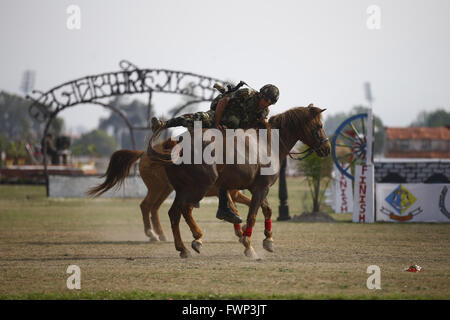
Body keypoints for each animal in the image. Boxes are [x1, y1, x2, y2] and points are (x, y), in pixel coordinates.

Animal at [86, 144, 251, 241]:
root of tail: (144, 153)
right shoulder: (227, 193)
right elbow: (236, 207)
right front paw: (241, 230)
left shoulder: (235, 194)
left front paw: (241, 229)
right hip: (157, 187)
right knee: (146, 205)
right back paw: (151, 234)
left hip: (166, 189)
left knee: (154, 207)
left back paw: (161, 234)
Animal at [148, 104, 330, 258]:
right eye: (319, 126)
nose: (327, 148)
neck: (268, 143)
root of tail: (176, 148)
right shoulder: (261, 188)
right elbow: (252, 216)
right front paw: (248, 244)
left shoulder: (257, 188)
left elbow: (267, 210)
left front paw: (268, 240)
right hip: (199, 187)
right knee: (186, 209)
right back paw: (197, 237)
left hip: (182, 190)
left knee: (174, 214)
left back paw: (183, 248)